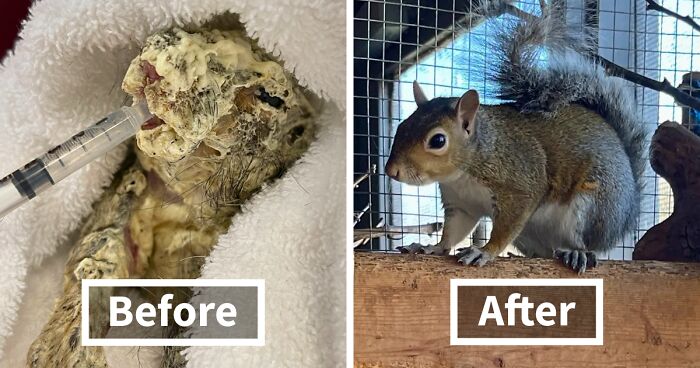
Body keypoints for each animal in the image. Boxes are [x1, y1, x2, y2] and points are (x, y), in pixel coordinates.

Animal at [386, 1, 648, 274]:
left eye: (437, 141)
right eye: (401, 126)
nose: (391, 170)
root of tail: (628, 213)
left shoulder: (520, 185)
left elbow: (504, 230)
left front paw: (484, 251)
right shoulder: (461, 204)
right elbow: (453, 233)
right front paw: (433, 248)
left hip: (591, 207)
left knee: (587, 243)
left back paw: (577, 252)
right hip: (529, 234)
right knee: (545, 252)